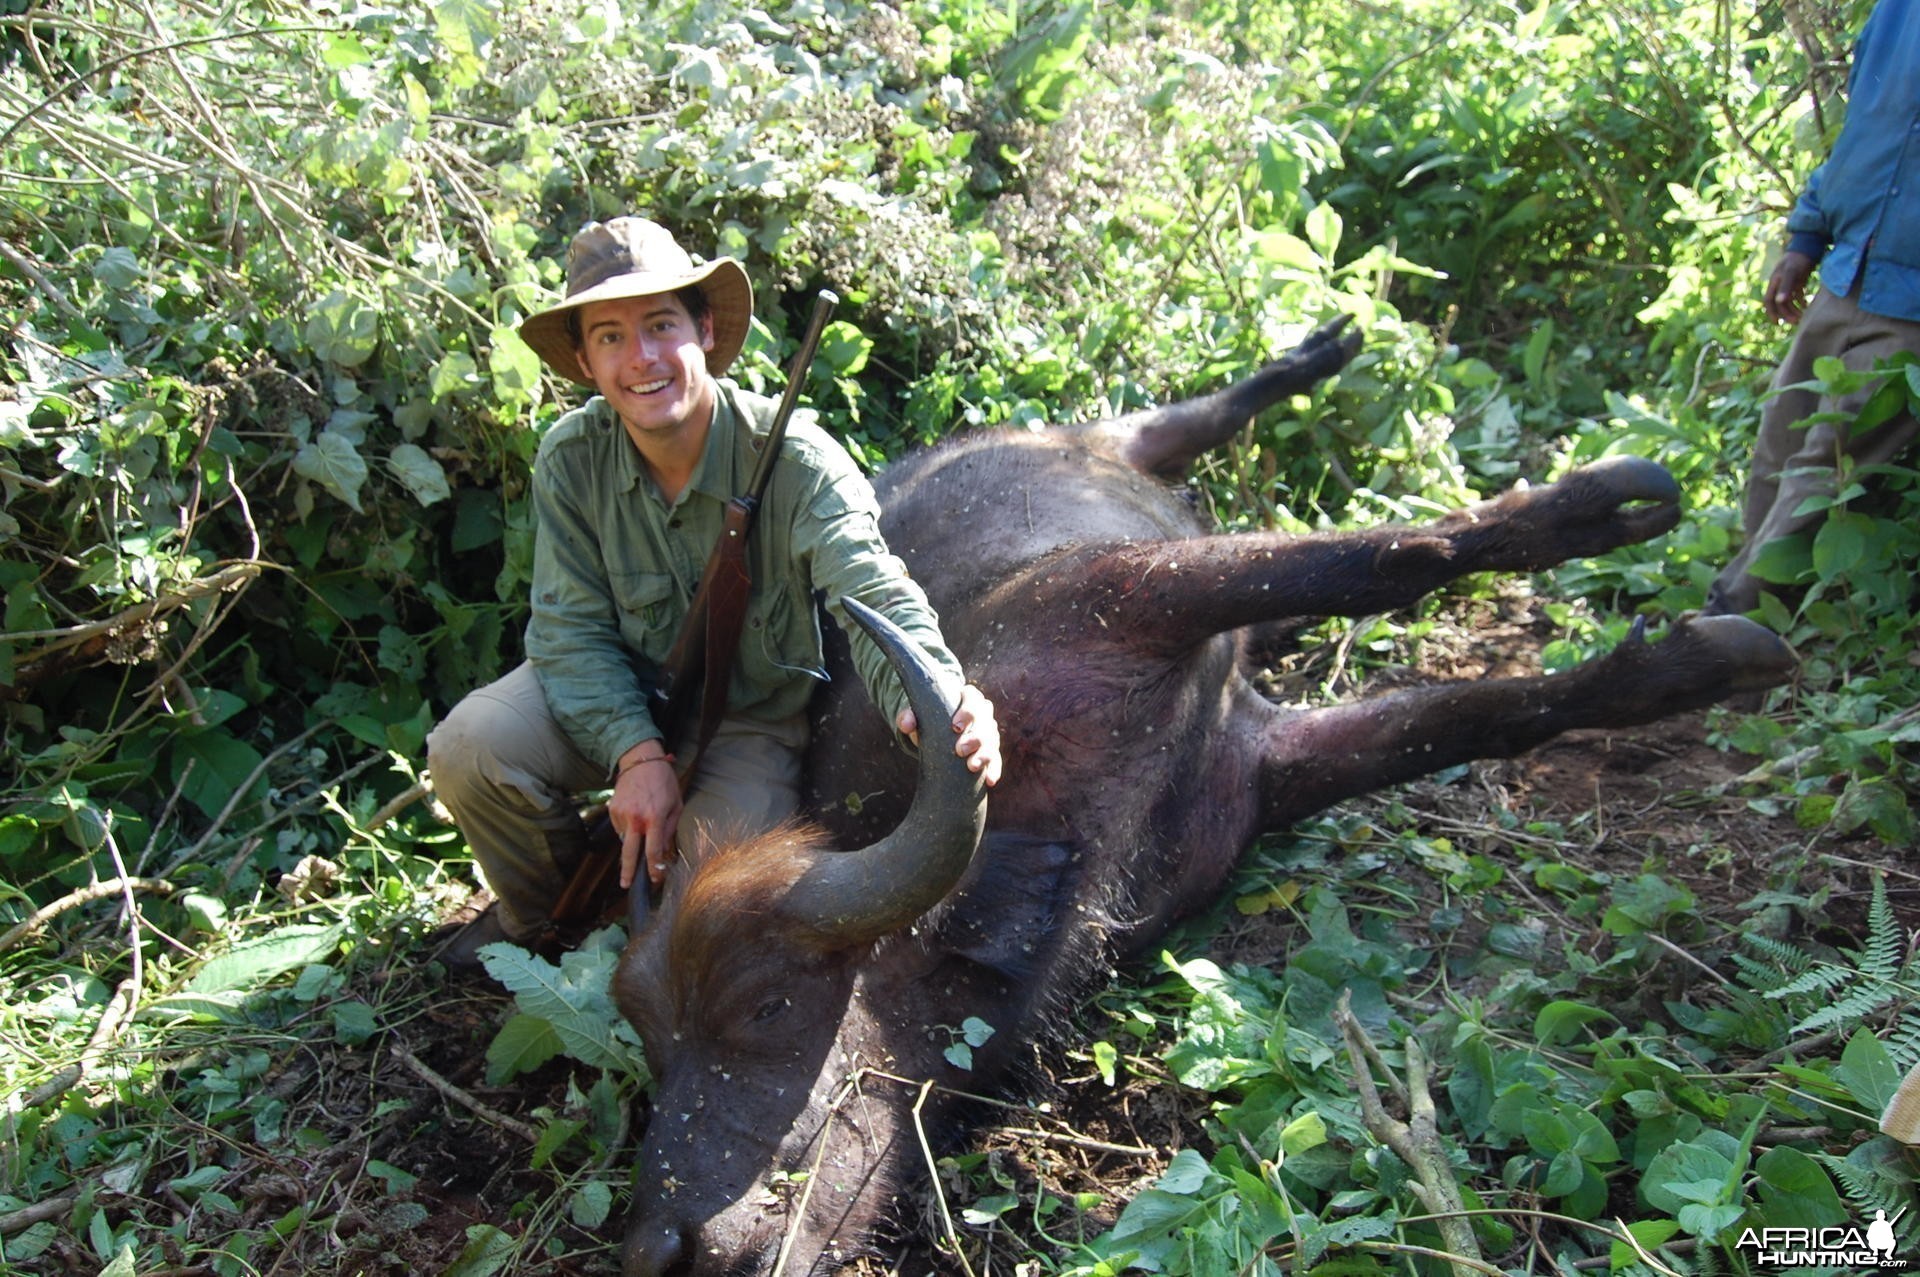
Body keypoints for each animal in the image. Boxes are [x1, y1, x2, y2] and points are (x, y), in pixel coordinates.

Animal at [606, 313, 1789, 1267]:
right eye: (657, 1051)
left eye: (763, 1004)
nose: (664, 1247)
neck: (1048, 833)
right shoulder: (1267, 769)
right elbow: (1461, 716)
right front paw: (1691, 664)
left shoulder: (1125, 594)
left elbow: (1382, 561)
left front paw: (1607, 513)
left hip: (1119, 451)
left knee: (1193, 423)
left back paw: (1323, 355)